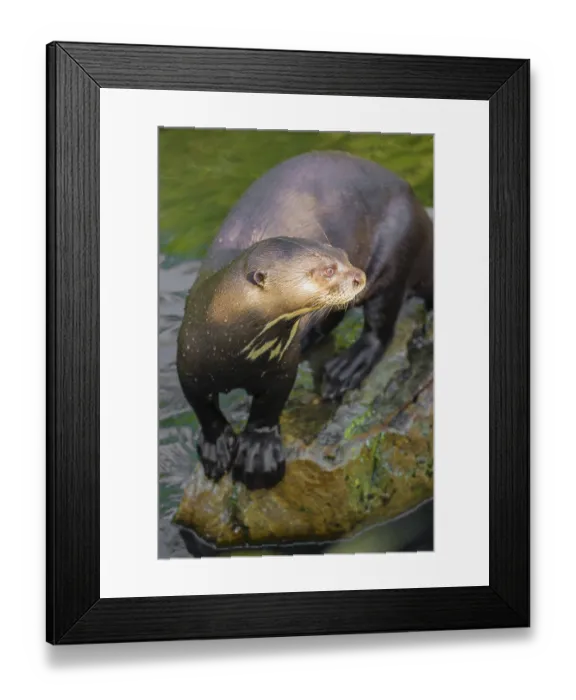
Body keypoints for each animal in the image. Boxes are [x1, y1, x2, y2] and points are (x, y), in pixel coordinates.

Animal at [177, 150, 433, 491]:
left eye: (343, 254)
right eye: (327, 270)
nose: (358, 275)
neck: (233, 347)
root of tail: (418, 206)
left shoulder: (282, 367)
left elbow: (267, 409)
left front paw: (259, 454)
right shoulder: (188, 362)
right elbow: (203, 409)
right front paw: (216, 448)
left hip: (396, 250)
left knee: (380, 329)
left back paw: (345, 369)